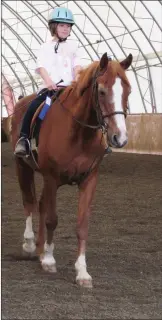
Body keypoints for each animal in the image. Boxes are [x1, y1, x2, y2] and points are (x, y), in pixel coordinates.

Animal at [11, 52, 133, 288]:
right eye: (101, 91)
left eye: (128, 90)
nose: (120, 138)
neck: (79, 133)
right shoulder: (51, 178)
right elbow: (52, 219)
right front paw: (50, 261)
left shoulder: (89, 180)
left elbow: (82, 225)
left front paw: (82, 272)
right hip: (22, 166)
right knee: (29, 202)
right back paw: (30, 244)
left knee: (40, 204)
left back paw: (40, 249)